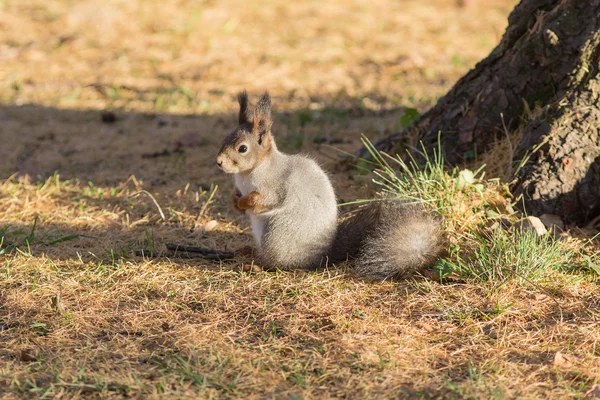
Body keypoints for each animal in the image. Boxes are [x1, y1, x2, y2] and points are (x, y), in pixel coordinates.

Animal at [216, 91, 446, 282]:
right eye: (224, 139)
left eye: (242, 148)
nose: (218, 162)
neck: (249, 173)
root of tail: (322, 256)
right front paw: (234, 199)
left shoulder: (275, 187)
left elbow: (264, 200)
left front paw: (244, 202)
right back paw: (248, 251)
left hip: (277, 235)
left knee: (280, 264)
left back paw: (257, 266)